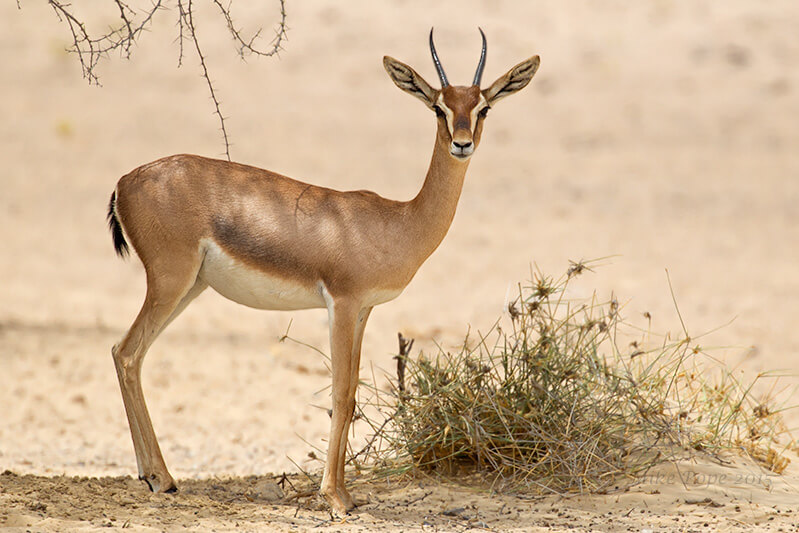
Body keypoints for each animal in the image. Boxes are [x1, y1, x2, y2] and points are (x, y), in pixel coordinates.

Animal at [106, 28, 539, 514]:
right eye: (437, 106)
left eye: (482, 107)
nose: (461, 143)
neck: (397, 222)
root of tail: (125, 181)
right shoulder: (342, 304)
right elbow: (340, 393)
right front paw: (335, 497)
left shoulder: (365, 311)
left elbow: (351, 393)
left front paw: (344, 492)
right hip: (170, 281)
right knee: (126, 353)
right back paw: (160, 478)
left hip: (191, 288)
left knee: (132, 355)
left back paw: (155, 476)